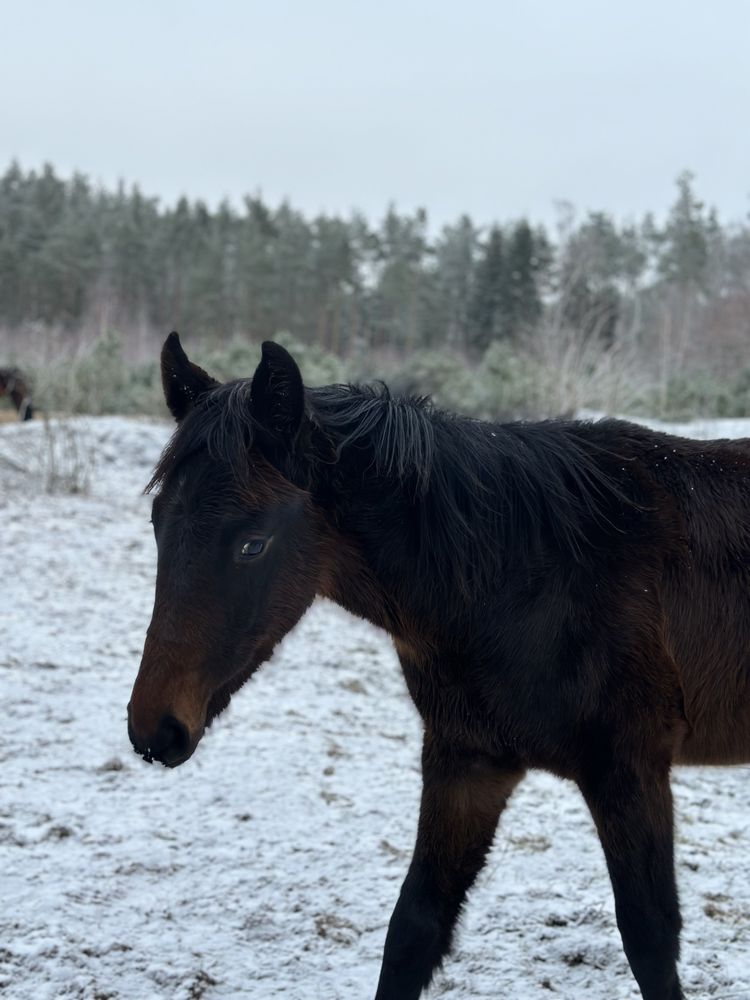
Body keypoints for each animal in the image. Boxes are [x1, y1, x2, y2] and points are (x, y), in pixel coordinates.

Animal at [129, 336, 750, 1000]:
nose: (154, 729)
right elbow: (415, 928)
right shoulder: (468, 763)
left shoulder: (628, 770)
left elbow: (650, 937)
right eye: (158, 523)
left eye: (253, 543)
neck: (531, 576)